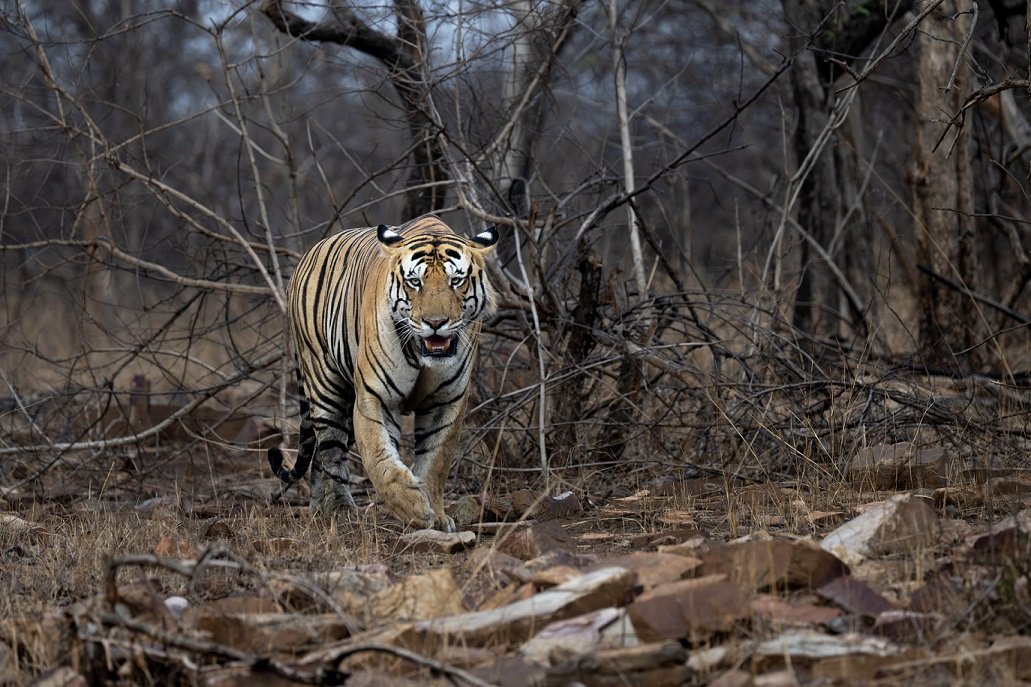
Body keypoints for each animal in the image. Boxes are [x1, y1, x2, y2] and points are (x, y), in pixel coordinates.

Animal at [267, 216, 498, 532]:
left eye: (456, 281)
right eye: (415, 282)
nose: (435, 323)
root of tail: (311, 251)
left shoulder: (446, 401)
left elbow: (436, 460)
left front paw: (436, 516)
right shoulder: (375, 396)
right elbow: (379, 456)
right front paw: (412, 506)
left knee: (319, 457)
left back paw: (319, 510)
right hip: (325, 384)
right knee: (330, 450)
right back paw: (339, 510)